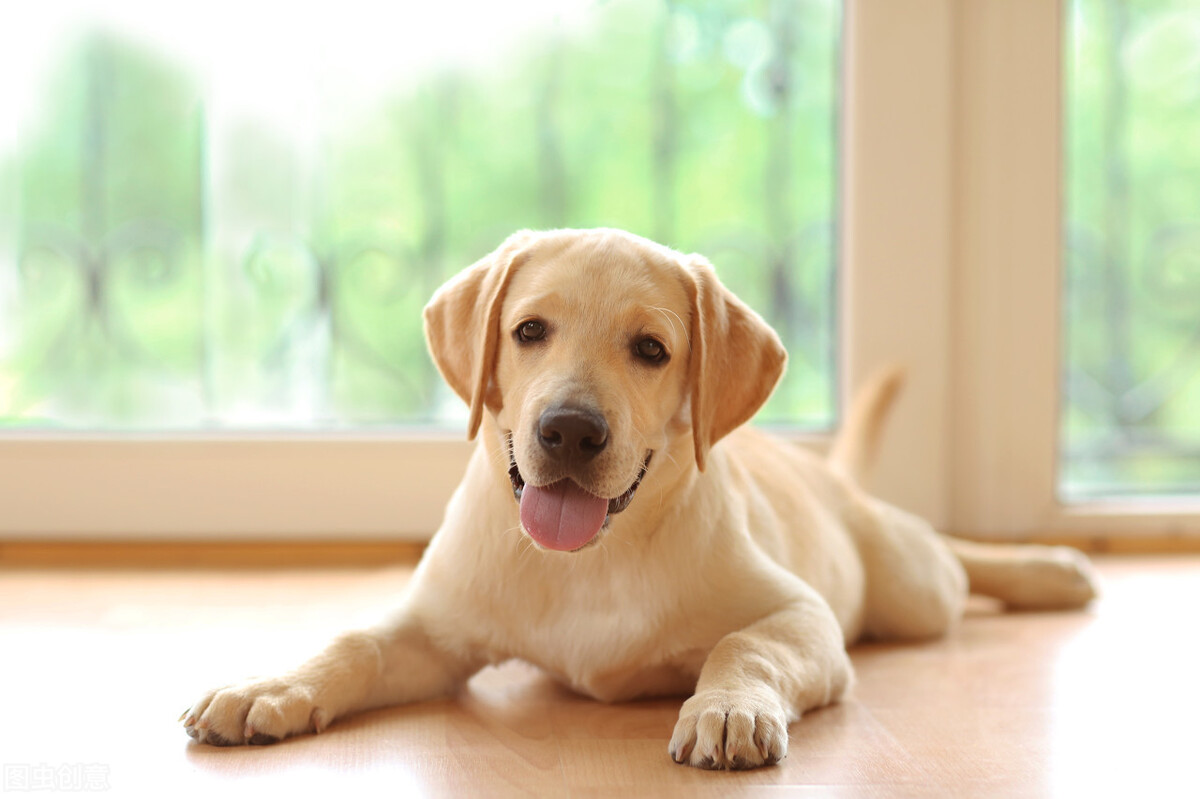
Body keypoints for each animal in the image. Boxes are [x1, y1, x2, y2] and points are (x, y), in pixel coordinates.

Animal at [180, 225, 1099, 767]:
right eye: (529, 330)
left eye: (652, 348)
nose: (569, 431)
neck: (592, 556)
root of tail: (822, 470)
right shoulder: (433, 625)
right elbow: (354, 642)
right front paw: (270, 687)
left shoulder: (801, 613)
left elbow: (744, 644)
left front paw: (727, 707)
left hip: (907, 588)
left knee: (952, 554)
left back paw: (1053, 567)